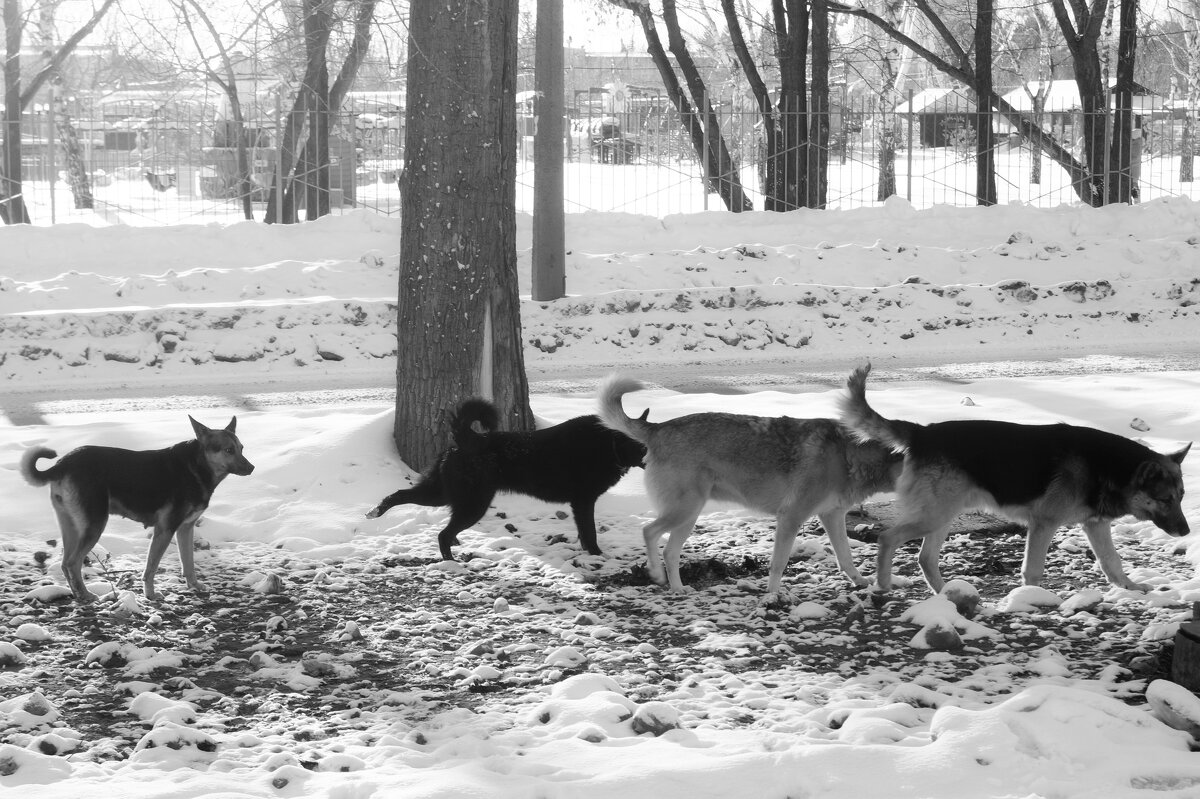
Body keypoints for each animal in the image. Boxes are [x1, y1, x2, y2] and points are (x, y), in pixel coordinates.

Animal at [19, 417, 254, 604]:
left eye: (242, 448)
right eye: (228, 450)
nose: (252, 468)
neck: (197, 466)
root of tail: (62, 463)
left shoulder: (185, 529)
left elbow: (188, 562)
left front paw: (194, 586)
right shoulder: (165, 530)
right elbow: (151, 568)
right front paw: (150, 595)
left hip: (72, 527)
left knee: (65, 564)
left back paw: (78, 595)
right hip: (94, 526)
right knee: (73, 563)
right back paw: (85, 595)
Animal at [364, 395, 648, 556]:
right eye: (639, 442)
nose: (649, 452)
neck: (607, 444)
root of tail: (468, 439)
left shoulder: (581, 504)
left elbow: (585, 534)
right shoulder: (584, 502)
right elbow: (590, 533)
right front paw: (598, 556)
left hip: (442, 494)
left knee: (401, 495)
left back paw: (375, 512)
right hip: (472, 504)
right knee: (442, 533)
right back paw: (451, 562)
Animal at [840, 364, 1195, 595]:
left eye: (1180, 498)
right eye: (1165, 499)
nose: (1186, 532)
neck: (1111, 467)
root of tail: (922, 433)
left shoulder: (1095, 525)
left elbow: (1112, 561)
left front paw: (1130, 587)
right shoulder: (1044, 524)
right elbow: (1034, 569)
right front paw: (1032, 599)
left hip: (942, 516)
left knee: (925, 558)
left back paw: (948, 595)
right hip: (934, 515)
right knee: (888, 538)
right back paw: (883, 585)